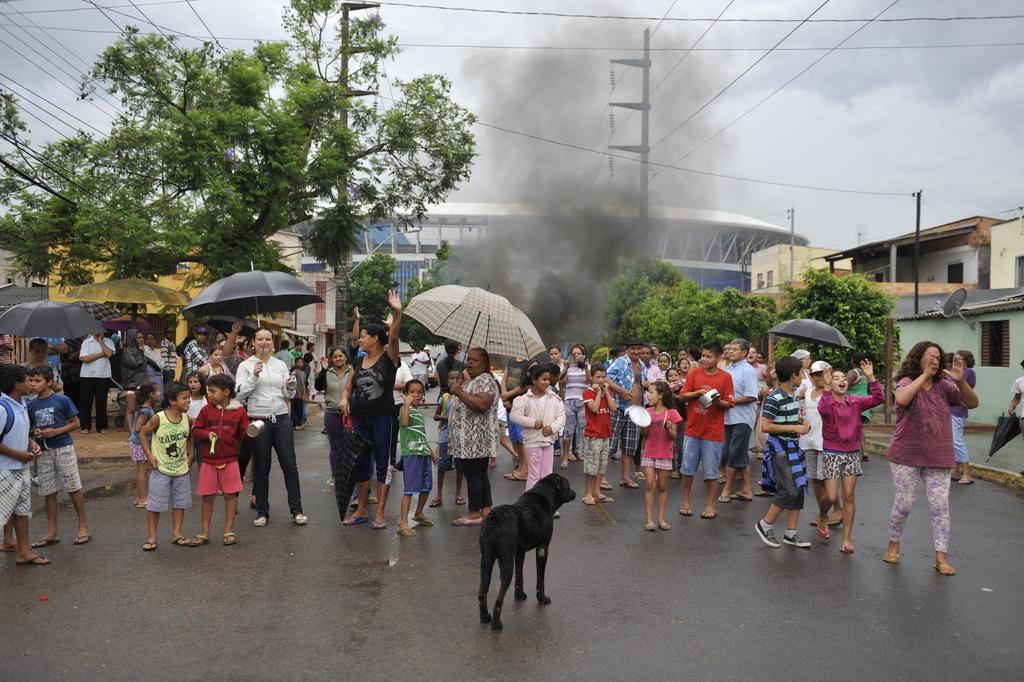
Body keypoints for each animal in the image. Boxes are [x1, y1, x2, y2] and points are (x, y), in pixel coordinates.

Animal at [479, 473, 577, 626]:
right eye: (568, 485)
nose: (575, 493)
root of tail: (493, 522)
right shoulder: (543, 548)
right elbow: (540, 579)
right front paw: (542, 599)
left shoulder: (520, 553)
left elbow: (520, 577)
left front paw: (520, 595)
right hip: (506, 564)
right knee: (499, 599)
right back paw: (496, 624)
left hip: (486, 563)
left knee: (482, 594)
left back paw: (485, 617)